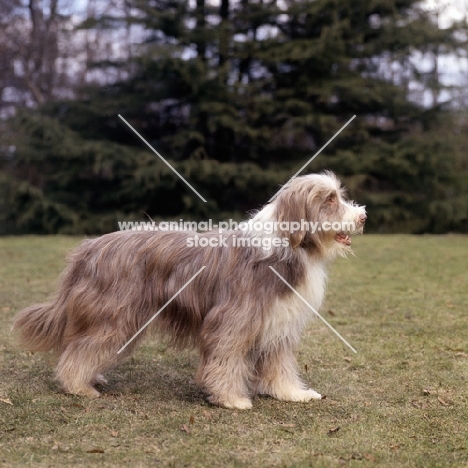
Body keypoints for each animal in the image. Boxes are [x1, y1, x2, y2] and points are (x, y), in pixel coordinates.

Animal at [12, 172, 366, 410]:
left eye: (339, 196)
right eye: (329, 200)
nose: (362, 216)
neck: (286, 249)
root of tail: (88, 248)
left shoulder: (278, 322)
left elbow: (279, 365)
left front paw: (292, 393)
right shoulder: (231, 321)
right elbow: (225, 359)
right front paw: (230, 398)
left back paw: (90, 377)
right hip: (114, 316)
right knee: (81, 349)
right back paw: (77, 385)